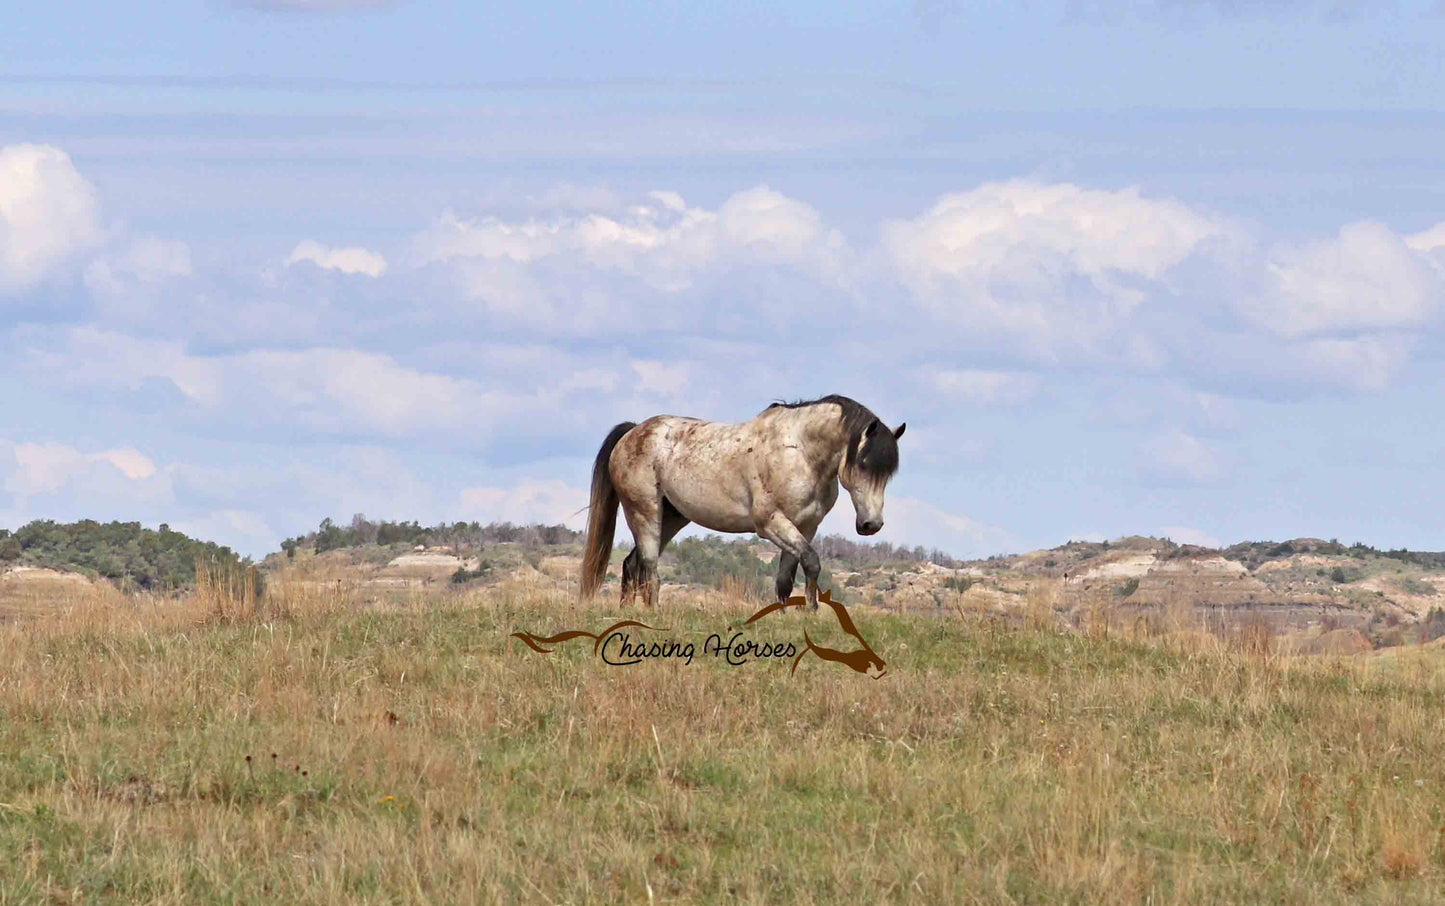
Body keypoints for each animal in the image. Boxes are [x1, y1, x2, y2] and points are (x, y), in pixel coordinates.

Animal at [579, 394, 905, 609]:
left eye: (888, 473)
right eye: (863, 464)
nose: (871, 524)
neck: (799, 451)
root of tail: (632, 433)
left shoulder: (804, 527)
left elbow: (785, 580)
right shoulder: (772, 523)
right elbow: (812, 562)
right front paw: (811, 612)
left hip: (671, 518)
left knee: (632, 566)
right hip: (645, 513)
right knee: (649, 570)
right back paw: (653, 614)